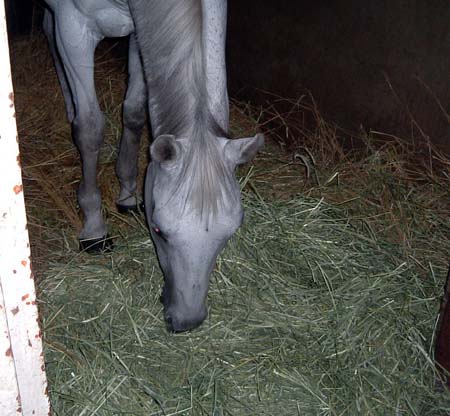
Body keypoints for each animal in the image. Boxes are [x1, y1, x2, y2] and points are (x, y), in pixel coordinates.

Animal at [43, 0, 262, 332]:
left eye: (230, 233)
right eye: (159, 230)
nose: (186, 320)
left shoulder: (140, 32)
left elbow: (134, 112)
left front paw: (127, 193)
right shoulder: (73, 27)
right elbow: (90, 129)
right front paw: (94, 228)